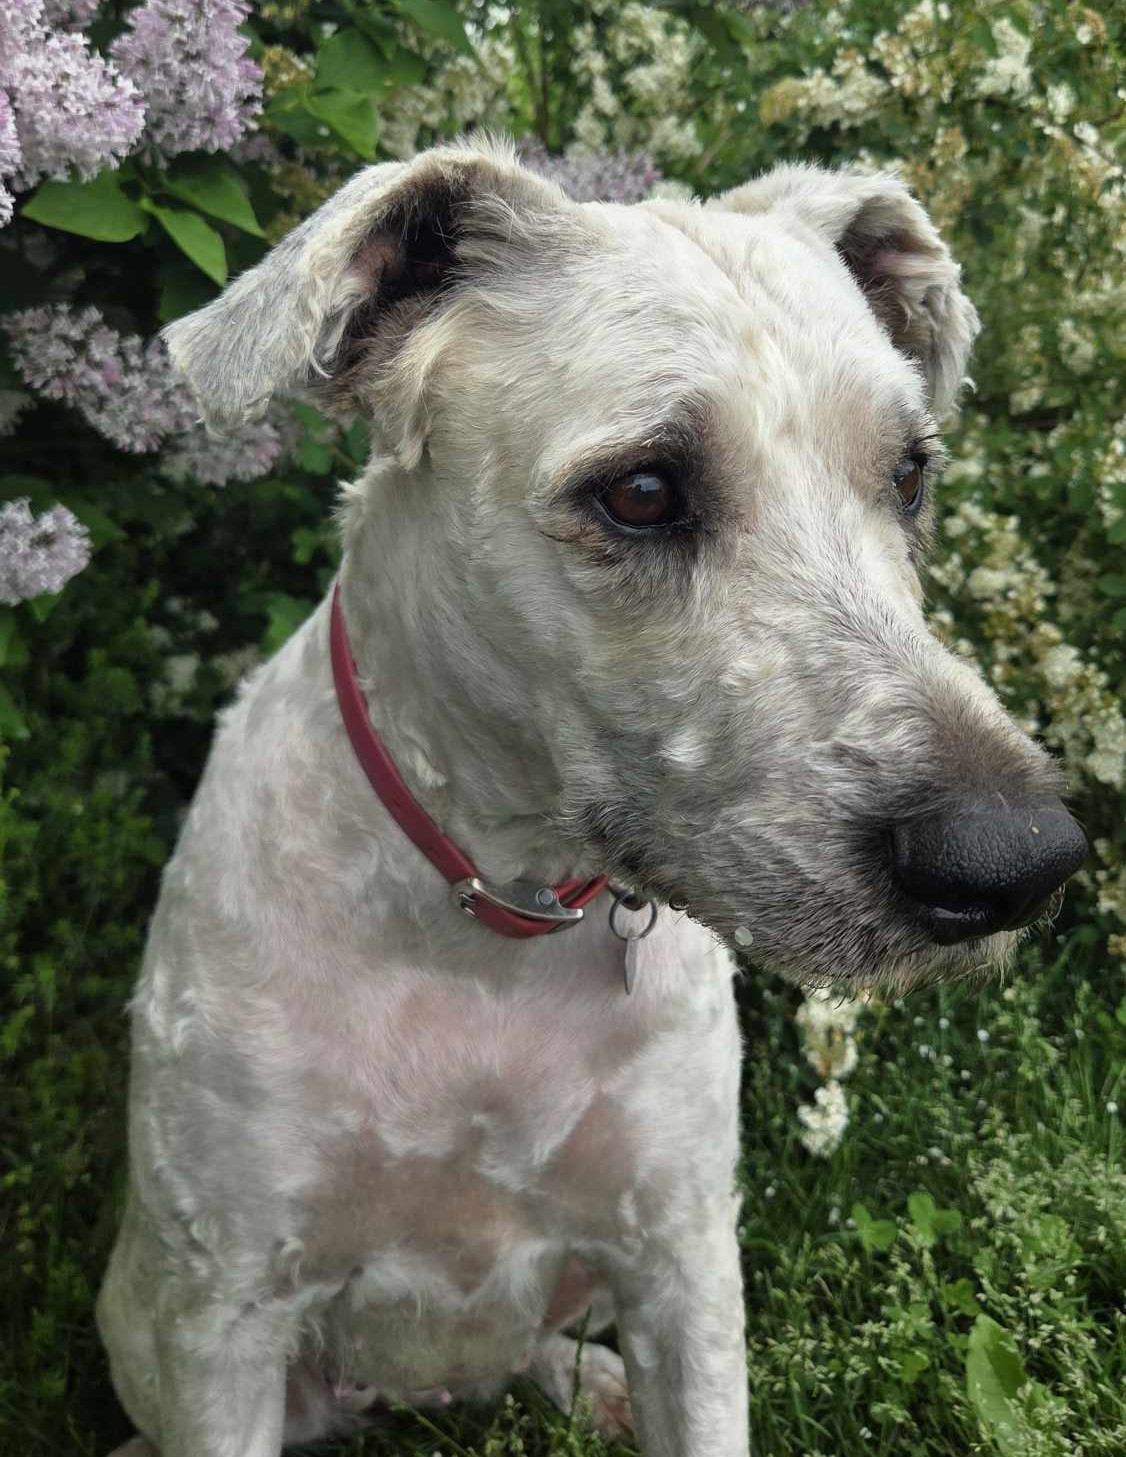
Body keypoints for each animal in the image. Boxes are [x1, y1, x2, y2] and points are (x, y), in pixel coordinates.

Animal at [97, 137, 1087, 1457]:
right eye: (642, 490)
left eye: (909, 473)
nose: (1017, 864)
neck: (485, 916)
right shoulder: (227, 1312)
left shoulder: (681, 1259)